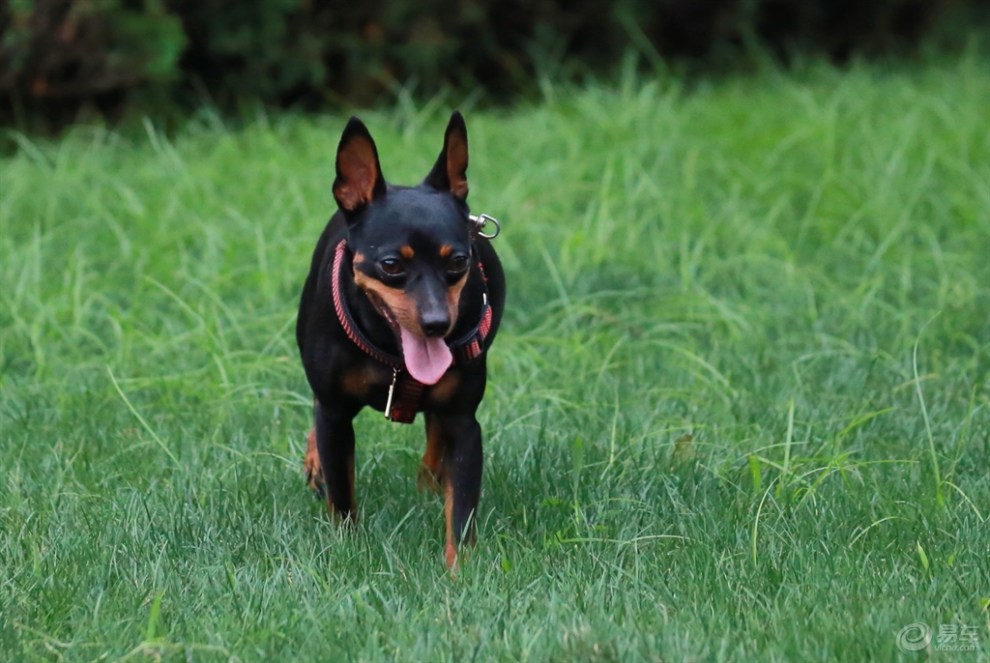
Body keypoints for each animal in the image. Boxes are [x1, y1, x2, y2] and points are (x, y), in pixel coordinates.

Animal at [296, 111, 508, 568]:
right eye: (391, 264)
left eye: (459, 261)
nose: (436, 323)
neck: (393, 356)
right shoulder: (336, 415)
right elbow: (342, 494)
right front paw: (348, 549)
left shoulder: (465, 423)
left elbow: (461, 510)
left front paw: (459, 571)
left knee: (433, 434)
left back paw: (430, 481)